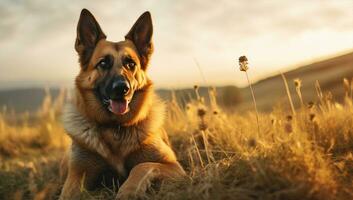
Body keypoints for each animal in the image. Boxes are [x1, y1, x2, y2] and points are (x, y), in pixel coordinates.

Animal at [58, 8, 184, 199]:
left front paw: (129, 190)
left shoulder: (174, 166)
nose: (122, 88)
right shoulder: (76, 177)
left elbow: (142, 166)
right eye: (103, 63)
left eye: (130, 63)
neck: (115, 128)